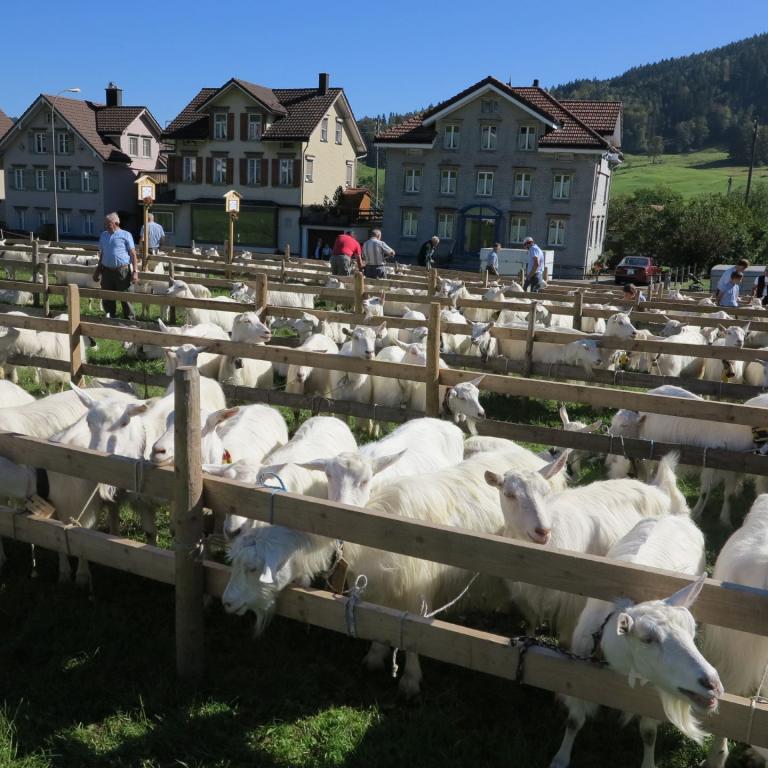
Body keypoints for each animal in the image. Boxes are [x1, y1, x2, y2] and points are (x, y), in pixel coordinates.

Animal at [223, 448, 539, 696]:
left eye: (252, 568)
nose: (226, 602)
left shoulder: (417, 591)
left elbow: (415, 636)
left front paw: (410, 679)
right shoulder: (373, 587)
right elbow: (376, 621)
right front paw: (375, 656)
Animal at [485, 452, 687, 642]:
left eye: (546, 492)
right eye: (509, 494)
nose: (543, 531)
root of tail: (658, 489)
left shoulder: (572, 605)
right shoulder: (527, 598)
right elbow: (530, 625)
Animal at [551, 519, 718, 768]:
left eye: (692, 631)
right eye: (647, 639)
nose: (713, 683)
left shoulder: (649, 692)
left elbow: (648, 733)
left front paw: (648, 763)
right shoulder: (578, 674)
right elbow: (574, 721)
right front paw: (561, 758)